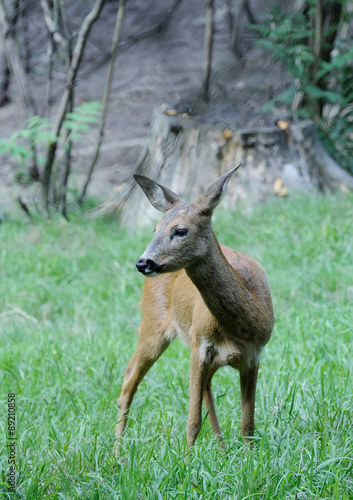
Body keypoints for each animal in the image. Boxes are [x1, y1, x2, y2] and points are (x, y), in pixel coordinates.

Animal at [114, 166, 274, 452]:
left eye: (180, 230)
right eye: (155, 228)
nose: (143, 262)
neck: (238, 328)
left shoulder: (254, 355)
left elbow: (248, 424)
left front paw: (250, 458)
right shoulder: (200, 347)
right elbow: (192, 421)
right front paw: (187, 460)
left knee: (207, 390)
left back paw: (222, 451)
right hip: (153, 324)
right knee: (129, 379)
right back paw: (116, 453)